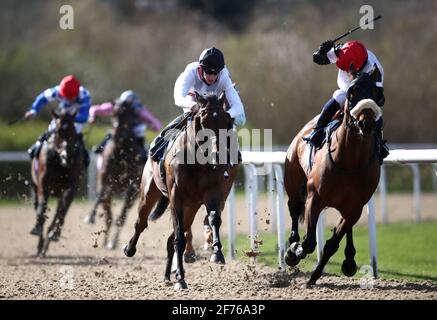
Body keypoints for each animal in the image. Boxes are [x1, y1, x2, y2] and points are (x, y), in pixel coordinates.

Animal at [29, 109, 83, 258]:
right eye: (58, 131)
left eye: (73, 130)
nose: (67, 156)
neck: (61, 163)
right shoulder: (43, 185)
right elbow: (42, 207)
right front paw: (38, 229)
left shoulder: (71, 187)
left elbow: (63, 211)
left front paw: (54, 233)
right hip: (35, 187)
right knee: (38, 206)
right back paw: (40, 244)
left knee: (58, 212)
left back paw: (48, 239)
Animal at [83, 100, 146, 250]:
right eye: (114, 114)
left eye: (130, 115)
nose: (117, 134)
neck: (121, 151)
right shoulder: (106, 180)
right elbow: (101, 194)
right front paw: (90, 217)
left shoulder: (133, 185)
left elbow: (121, 217)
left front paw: (113, 242)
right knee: (108, 216)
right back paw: (105, 241)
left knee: (119, 217)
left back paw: (112, 242)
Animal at [122, 92, 238, 290]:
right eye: (204, 121)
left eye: (225, 120)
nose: (218, 155)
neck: (197, 161)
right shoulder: (176, 197)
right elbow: (179, 239)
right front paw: (181, 279)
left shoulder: (212, 192)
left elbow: (214, 218)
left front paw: (217, 253)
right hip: (149, 193)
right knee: (141, 223)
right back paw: (130, 249)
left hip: (191, 207)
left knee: (171, 239)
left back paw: (167, 276)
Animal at [282, 74, 382, 286]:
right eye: (352, 93)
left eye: (376, 94)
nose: (366, 123)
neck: (350, 162)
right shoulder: (315, 197)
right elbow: (309, 242)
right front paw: (295, 250)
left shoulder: (355, 207)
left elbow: (331, 245)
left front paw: (313, 277)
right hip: (293, 183)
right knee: (294, 209)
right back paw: (292, 246)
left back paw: (349, 260)